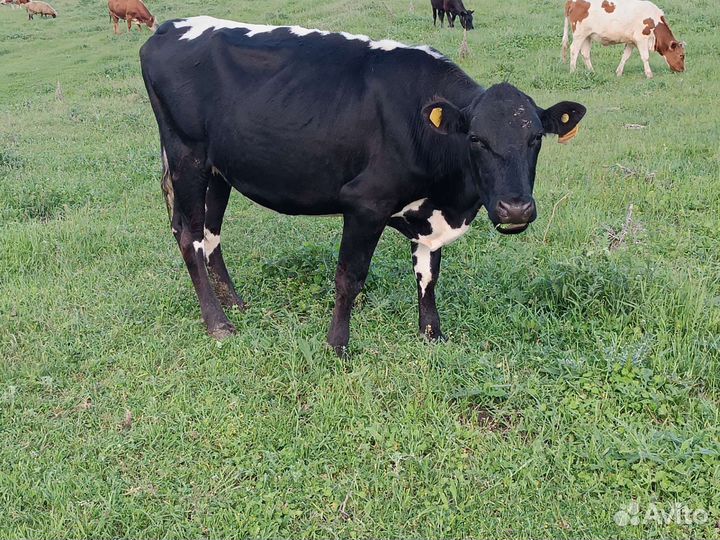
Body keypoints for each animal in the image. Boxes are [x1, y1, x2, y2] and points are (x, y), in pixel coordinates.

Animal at [140, 16, 586, 355]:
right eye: (476, 139)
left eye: (535, 139)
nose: (516, 209)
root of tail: (169, 27)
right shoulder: (365, 203)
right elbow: (349, 277)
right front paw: (337, 345)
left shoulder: (427, 217)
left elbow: (428, 274)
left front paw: (432, 335)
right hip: (188, 157)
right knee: (190, 237)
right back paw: (218, 323)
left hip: (219, 169)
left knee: (210, 234)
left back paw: (235, 304)